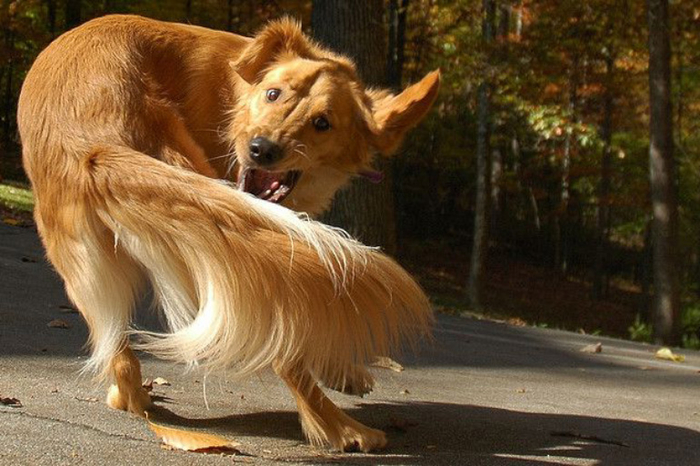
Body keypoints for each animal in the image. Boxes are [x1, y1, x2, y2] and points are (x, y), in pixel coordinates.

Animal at [17, 14, 438, 452]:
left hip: (93, 263)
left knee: (120, 354)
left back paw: (130, 397)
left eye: (322, 123)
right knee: (283, 339)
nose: (261, 149)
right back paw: (340, 427)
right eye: (273, 93)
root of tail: (92, 136)